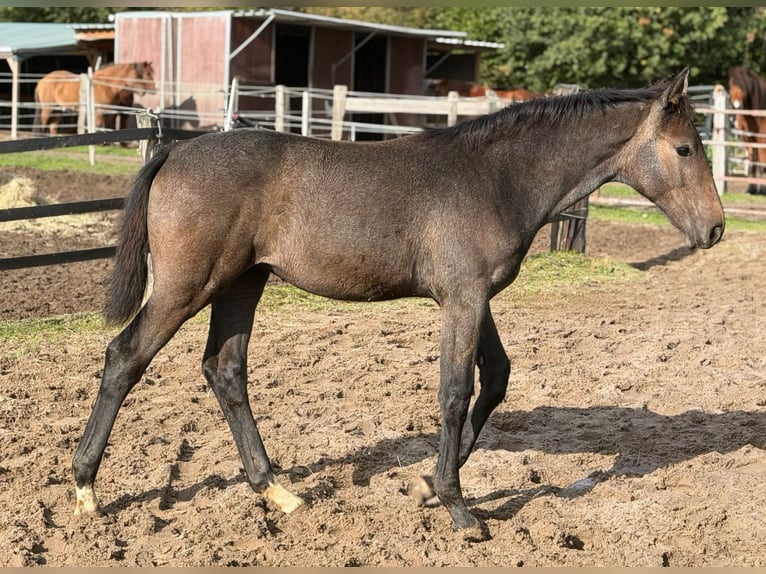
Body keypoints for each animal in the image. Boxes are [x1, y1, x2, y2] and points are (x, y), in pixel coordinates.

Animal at [72, 68, 724, 536]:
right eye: (686, 149)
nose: (716, 229)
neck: (495, 177)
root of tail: (174, 152)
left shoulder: (474, 297)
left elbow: (496, 379)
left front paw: (427, 487)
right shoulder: (463, 299)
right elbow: (455, 393)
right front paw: (459, 509)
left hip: (241, 284)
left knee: (225, 370)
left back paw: (277, 492)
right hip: (188, 286)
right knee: (124, 357)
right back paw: (85, 491)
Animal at [728, 66, 766, 194]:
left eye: (744, 88)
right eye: (731, 86)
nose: (736, 106)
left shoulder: (761, 141)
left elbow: (762, 164)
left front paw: (762, 190)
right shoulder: (749, 140)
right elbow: (752, 164)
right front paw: (751, 188)